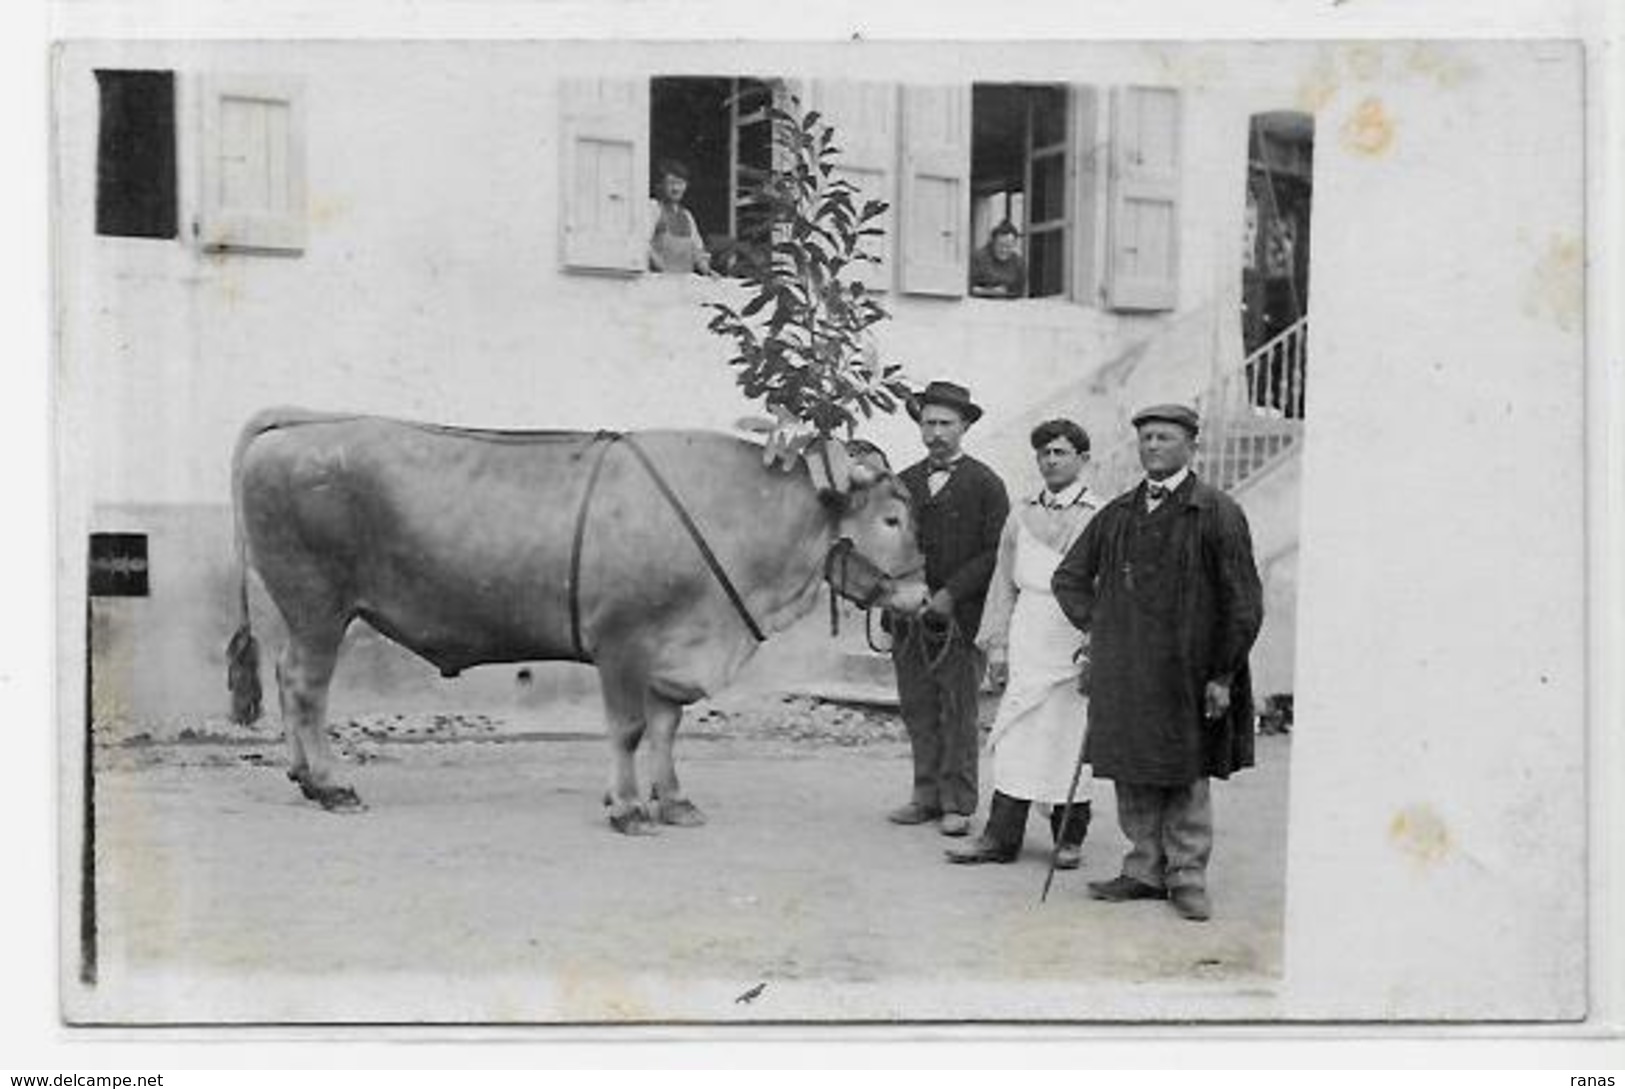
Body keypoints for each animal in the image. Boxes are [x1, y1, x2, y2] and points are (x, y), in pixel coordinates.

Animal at [225, 409, 929, 838]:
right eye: (891, 518)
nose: (924, 595)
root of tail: (300, 423)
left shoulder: (672, 654)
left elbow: (667, 730)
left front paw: (673, 801)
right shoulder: (622, 644)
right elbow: (629, 730)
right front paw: (628, 808)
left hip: (304, 611)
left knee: (287, 678)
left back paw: (303, 776)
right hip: (318, 606)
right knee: (308, 689)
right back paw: (331, 784)